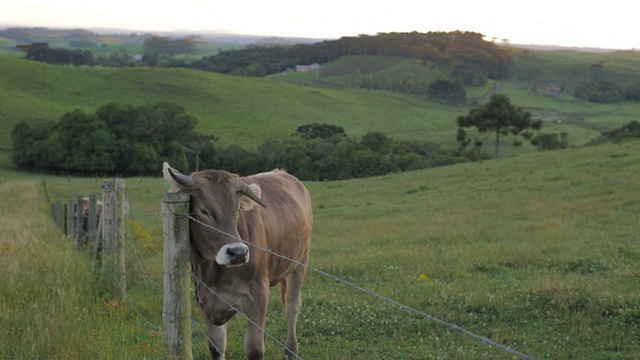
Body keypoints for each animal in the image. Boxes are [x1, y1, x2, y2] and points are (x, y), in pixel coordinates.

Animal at [162, 163, 312, 360]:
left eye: (238, 209)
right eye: (203, 211)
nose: (238, 252)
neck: (216, 273)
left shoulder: (258, 294)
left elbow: (254, 348)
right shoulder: (206, 298)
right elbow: (217, 346)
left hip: (300, 262)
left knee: (292, 306)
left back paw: (290, 350)